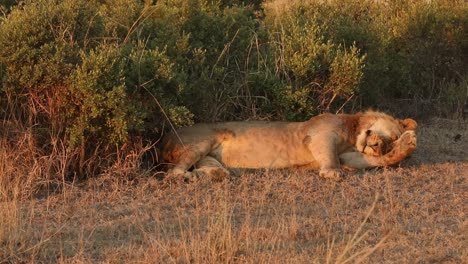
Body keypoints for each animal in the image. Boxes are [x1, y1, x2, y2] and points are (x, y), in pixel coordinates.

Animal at [160, 110, 416, 180]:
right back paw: (187, 177)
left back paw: (209, 176)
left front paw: (408, 145)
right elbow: (331, 158)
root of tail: (165, 136)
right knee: (173, 172)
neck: (354, 134)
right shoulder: (320, 135)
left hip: (212, 158)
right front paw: (331, 173)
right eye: (392, 136)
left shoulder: (351, 155)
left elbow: (371, 161)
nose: (380, 146)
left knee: (215, 170)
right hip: (204, 140)